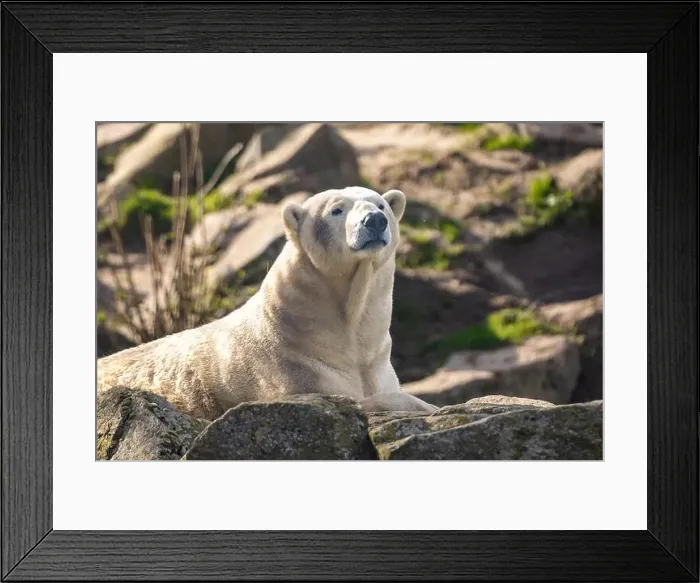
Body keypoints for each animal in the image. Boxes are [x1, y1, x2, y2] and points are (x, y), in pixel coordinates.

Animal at [97, 186, 439, 420]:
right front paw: (425, 405)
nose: (375, 220)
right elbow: (346, 400)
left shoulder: (375, 362)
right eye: (336, 210)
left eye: (381, 204)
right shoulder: (291, 369)